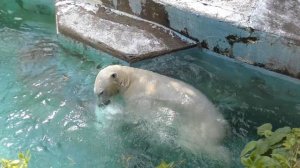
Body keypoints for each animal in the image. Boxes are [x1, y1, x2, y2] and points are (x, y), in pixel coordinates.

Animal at [95, 64, 229, 160]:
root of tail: (222, 130)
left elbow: (135, 116)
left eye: (101, 92)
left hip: (198, 129)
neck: (131, 79)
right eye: (96, 93)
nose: (101, 104)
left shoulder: (138, 96)